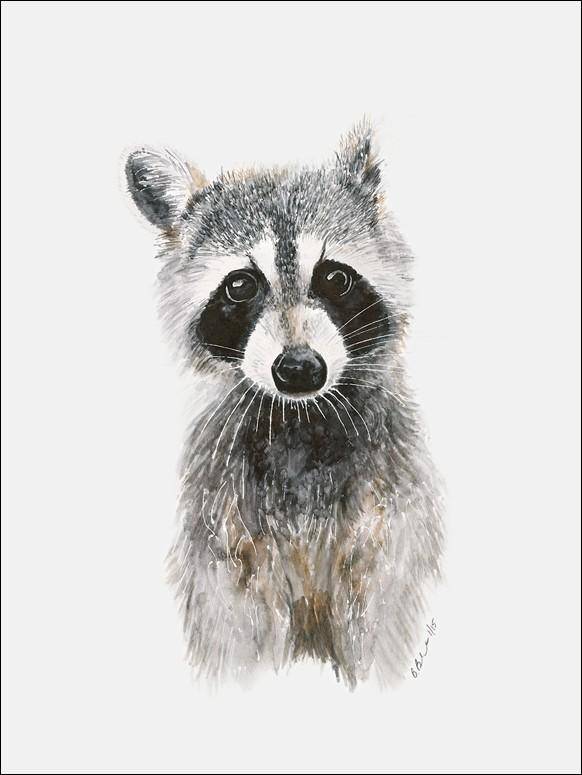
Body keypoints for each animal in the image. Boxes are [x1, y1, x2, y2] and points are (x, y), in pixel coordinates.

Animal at [126, 122, 444, 688]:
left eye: (336, 277)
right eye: (240, 285)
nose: (298, 368)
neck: (301, 419)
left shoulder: (392, 511)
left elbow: (386, 612)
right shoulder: (222, 522)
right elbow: (234, 628)